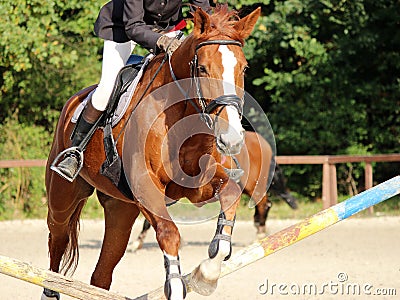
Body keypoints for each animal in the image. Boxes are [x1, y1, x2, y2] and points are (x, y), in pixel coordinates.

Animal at [43, 5, 260, 300]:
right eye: (202, 68)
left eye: (244, 68)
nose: (233, 138)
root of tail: (74, 101)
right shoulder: (146, 186)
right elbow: (169, 232)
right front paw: (177, 284)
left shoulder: (197, 186)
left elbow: (230, 195)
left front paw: (207, 274)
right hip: (63, 197)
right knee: (58, 237)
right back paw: (50, 288)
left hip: (121, 209)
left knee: (102, 272)